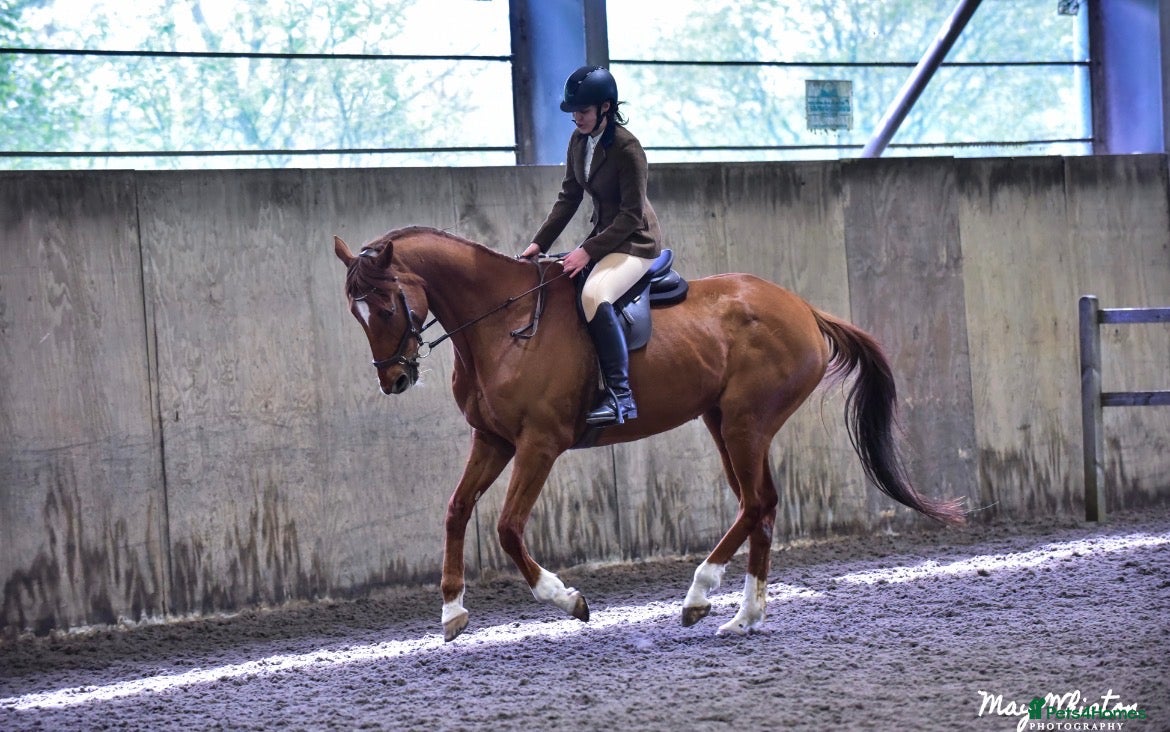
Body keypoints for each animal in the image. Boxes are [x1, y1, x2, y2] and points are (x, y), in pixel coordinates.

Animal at [333, 225, 965, 642]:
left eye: (385, 305)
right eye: (355, 313)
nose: (394, 378)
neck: (502, 323)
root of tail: (803, 308)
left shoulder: (540, 442)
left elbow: (509, 529)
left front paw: (569, 600)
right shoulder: (493, 441)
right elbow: (456, 511)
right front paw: (452, 613)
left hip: (746, 421)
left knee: (755, 502)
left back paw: (700, 594)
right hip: (724, 421)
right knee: (761, 504)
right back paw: (745, 616)